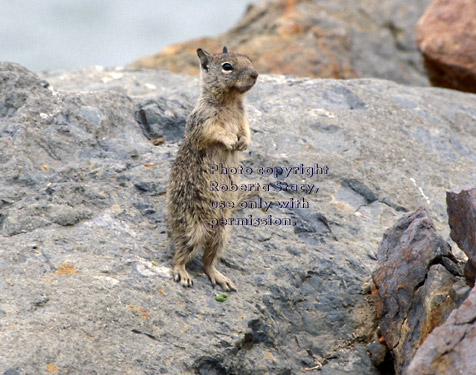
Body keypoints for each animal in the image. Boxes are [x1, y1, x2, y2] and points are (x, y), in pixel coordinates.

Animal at [165, 47, 258, 292]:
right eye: (227, 67)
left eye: (249, 59)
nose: (255, 74)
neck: (231, 101)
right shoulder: (203, 122)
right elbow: (214, 132)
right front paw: (230, 140)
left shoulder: (244, 120)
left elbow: (246, 131)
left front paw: (243, 142)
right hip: (191, 230)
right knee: (179, 255)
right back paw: (182, 274)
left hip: (221, 234)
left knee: (208, 262)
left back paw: (220, 277)